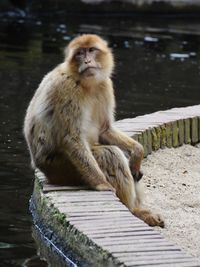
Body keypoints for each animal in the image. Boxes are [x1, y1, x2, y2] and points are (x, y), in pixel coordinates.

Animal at [23, 34, 164, 228]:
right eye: (80, 53)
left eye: (91, 50)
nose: (87, 60)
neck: (84, 83)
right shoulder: (66, 88)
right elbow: (72, 138)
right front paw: (103, 185)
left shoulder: (105, 85)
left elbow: (105, 131)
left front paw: (137, 152)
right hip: (61, 168)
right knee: (110, 154)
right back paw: (133, 210)